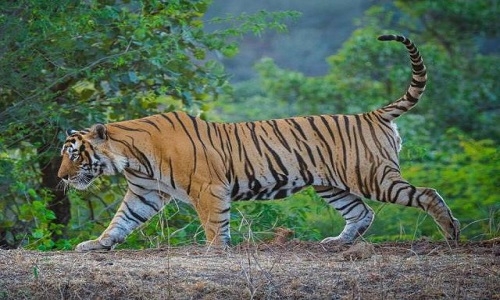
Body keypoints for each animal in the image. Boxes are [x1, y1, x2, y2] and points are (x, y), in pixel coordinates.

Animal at [58, 34, 460, 251]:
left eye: (75, 156)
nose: (61, 177)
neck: (131, 157)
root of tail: (371, 114)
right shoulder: (145, 192)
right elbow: (120, 221)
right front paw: (96, 244)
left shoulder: (207, 187)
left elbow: (214, 223)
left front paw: (216, 250)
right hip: (332, 184)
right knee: (362, 213)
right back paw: (338, 243)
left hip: (372, 175)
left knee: (426, 194)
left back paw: (451, 233)